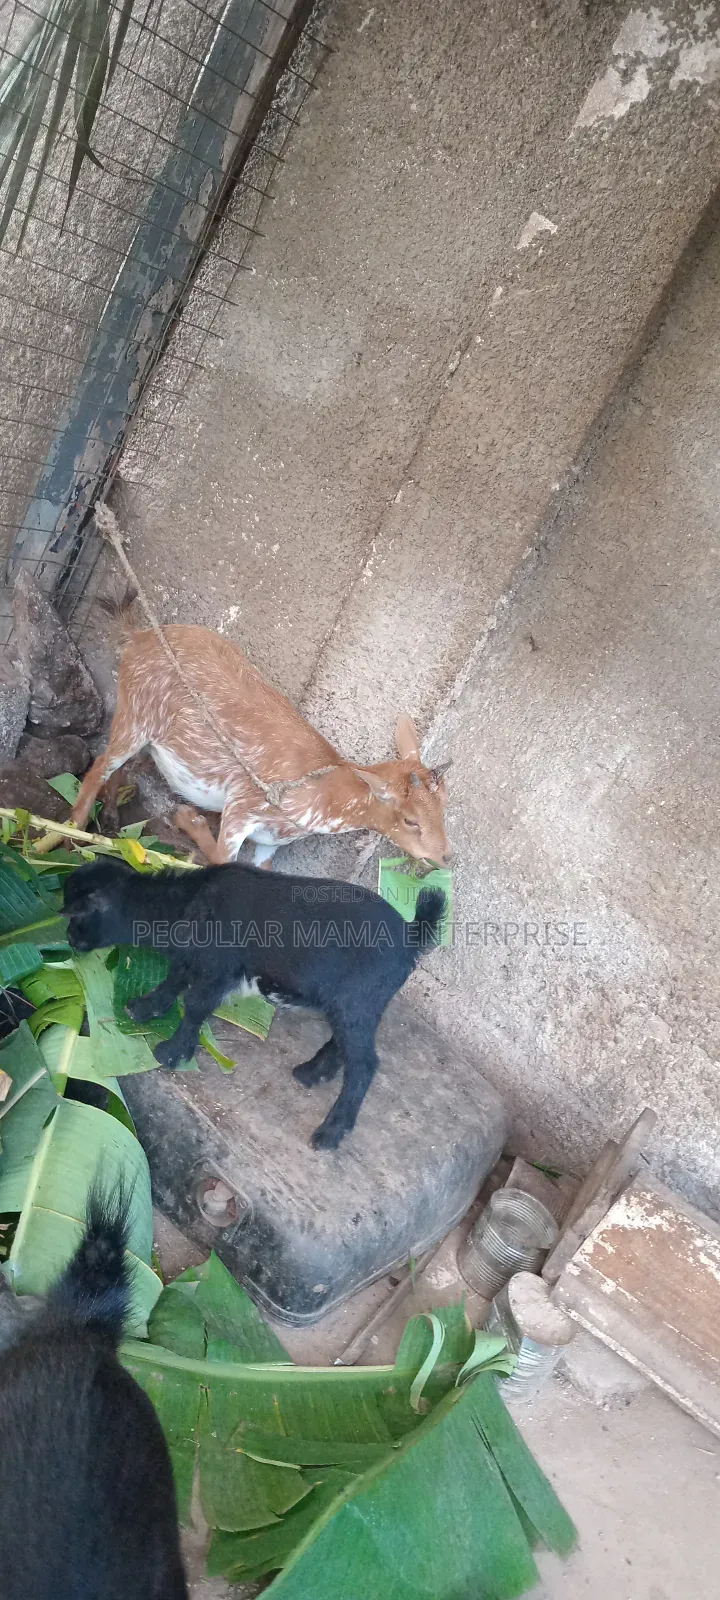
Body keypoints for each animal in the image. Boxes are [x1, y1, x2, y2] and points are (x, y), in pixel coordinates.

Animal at [64, 857, 446, 1151]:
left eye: (78, 916)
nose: (68, 939)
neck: (187, 904)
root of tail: (412, 936)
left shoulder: (220, 967)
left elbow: (196, 1005)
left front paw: (173, 1052)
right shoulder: (198, 958)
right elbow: (174, 979)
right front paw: (144, 1007)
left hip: (358, 1000)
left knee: (365, 1063)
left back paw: (331, 1131)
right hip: (352, 1004)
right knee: (345, 1044)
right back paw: (312, 1072)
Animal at [66, 613, 452, 868]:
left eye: (445, 805)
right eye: (411, 820)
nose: (445, 856)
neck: (321, 794)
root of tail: (138, 636)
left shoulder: (270, 841)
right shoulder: (243, 804)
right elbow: (221, 860)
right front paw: (188, 818)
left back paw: (112, 815)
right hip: (136, 712)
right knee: (99, 765)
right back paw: (66, 837)